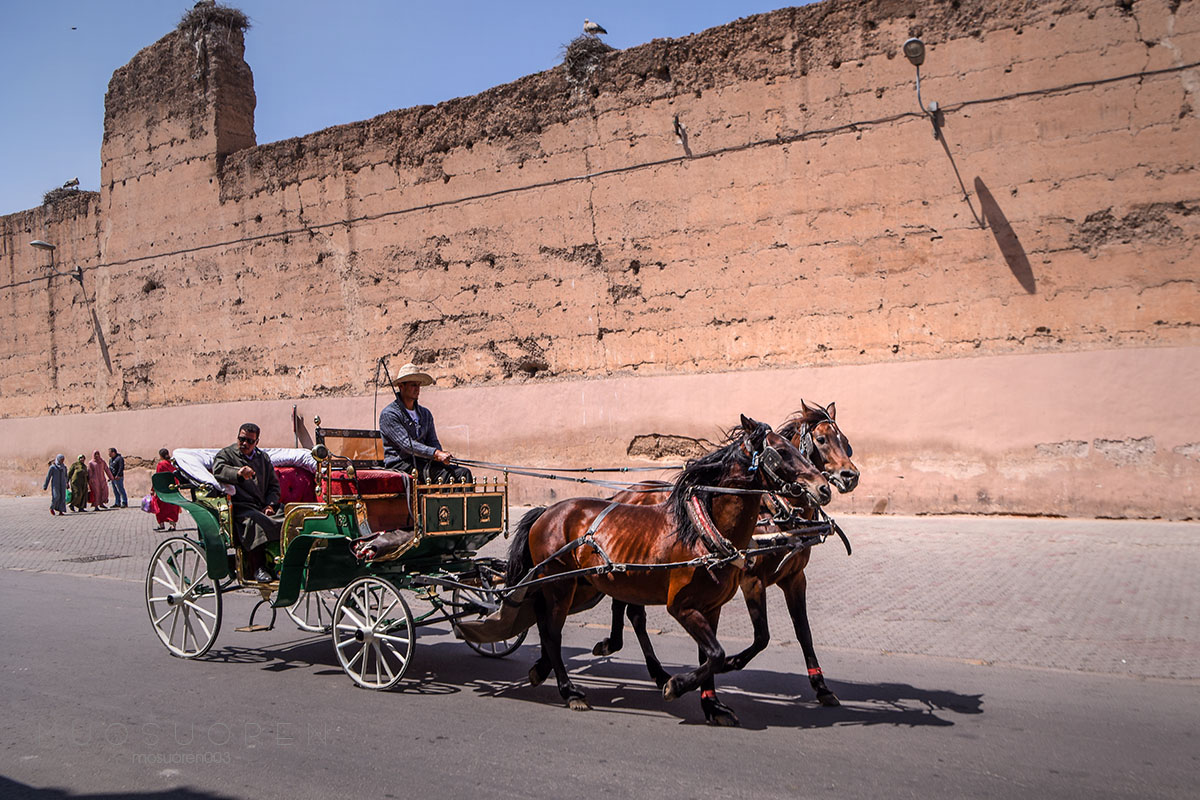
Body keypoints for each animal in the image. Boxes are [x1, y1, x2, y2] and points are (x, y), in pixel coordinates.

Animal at [501, 419, 830, 724]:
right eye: (782, 451)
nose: (823, 487)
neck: (703, 530)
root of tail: (547, 512)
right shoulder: (683, 606)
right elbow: (717, 654)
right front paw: (677, 685)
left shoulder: (711, 606)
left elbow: (710, 656)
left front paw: (712, 705)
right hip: (560, 585)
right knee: (552, 632)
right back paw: (569, 690)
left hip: (581, 584)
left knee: (549, 621)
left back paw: (546, 668)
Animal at [595, 400, 859, 705]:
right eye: (822, 440)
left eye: (846, 442)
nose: (849, 476)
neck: (776, 513)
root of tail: (622, 494)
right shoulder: (752, 580)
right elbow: (762, 636)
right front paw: (730, 663)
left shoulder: (795, 578)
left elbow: (804, 632)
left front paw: (821, 687)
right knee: (633, 611)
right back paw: (646, 664)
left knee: (626, 604)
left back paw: (628, 653)